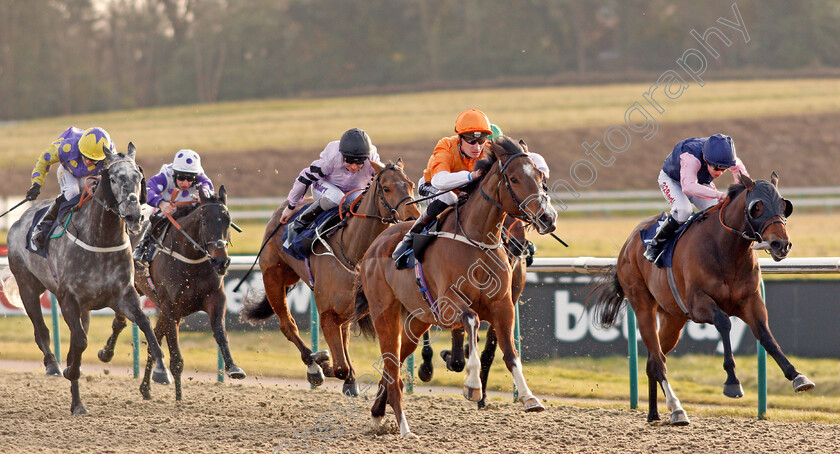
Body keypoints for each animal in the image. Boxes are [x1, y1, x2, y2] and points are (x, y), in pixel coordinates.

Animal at [0, 145, 172, 414]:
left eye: (138, 177)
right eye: (114, 179)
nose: (134, 215)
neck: (101, 240)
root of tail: (19, 220)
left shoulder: (123, 295)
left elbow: (144, 324)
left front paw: (162, 370)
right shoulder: (68, 299)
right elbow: (79, 343)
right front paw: (69, 369)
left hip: (85, 309)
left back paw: (77, 403)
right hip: (28, 285)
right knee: (41, 330)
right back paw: (54, 366)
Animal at [97, 186, 240, 400]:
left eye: (228, 221)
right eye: (205, 221)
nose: (221, 262)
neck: (191, 261)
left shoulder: (214, 300)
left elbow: (220, 333)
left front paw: (233, 367)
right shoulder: (171, 308)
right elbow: (177, 359)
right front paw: (179, 399)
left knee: (153, 339)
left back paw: (146, 386)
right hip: (132, 289)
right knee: (120, 322)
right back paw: (107, 353)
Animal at [241, 160, 418, 394]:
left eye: (411, 185)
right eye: (387, 188)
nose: (413, 217)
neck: (351, 250)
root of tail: (279, 213)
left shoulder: (348, 310)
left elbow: (344, 354)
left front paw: (348, 377)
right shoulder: (326, 313)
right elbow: (340, 366)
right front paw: (322, 363)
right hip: (273, 278)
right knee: (287, 325)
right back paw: (313, 364)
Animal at [354, 137, 556, 438]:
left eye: (541, 178)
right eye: (514, 179)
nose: (547, 218)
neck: (476, 240)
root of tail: (373, 246)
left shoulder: (503, 305)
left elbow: (509, 352)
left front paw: (529, 397)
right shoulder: (449, 304)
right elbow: (471, 320)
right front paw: (472, 386)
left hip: (416, 321)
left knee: (394, 366)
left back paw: (378, 413)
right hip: (385, 314)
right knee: (392, 366)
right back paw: (405, 429)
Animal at [584, 174, 812, 426]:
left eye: (784, 205)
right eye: (757, 207)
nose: (781, 244)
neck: (726, 250)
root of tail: (628, 243)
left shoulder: (751, 301)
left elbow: (766, 336)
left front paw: (798, 376)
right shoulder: (698, 304)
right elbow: (724, 322)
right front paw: (732, 381)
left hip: (673, 320)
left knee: (653, 359)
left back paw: (654, 413)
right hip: (643, 306)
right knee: (657, 360)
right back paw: (676, 409)